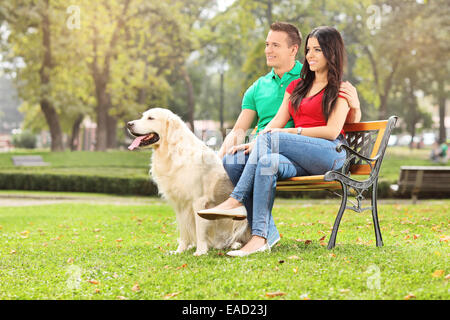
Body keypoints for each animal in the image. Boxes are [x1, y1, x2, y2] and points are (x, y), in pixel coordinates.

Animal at [128, 107, 251, 255]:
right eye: (143, 116)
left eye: (151, 118)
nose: (128, 124)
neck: (172, 151)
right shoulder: (180, 203)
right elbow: (183, 230)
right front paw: (180, 250)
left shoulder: (199, 201)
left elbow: (200, 229)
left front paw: (201, 251)